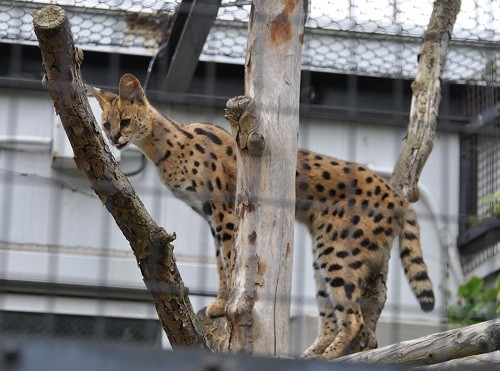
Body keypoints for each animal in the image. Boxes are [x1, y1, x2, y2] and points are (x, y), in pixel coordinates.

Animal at [90, 73, 434, 360]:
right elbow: (221, 260)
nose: (113, 139)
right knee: (350, 308)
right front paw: (221, 304)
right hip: (331, 254)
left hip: (337, 251)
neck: (166, 148)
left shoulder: (225, 213)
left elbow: (229, 261)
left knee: (354, 317)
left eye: (125, 120)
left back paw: (328, 355)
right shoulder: (212, 217)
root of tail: (398, 197)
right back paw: (314, 353)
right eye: (106, 125)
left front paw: (223, 305)